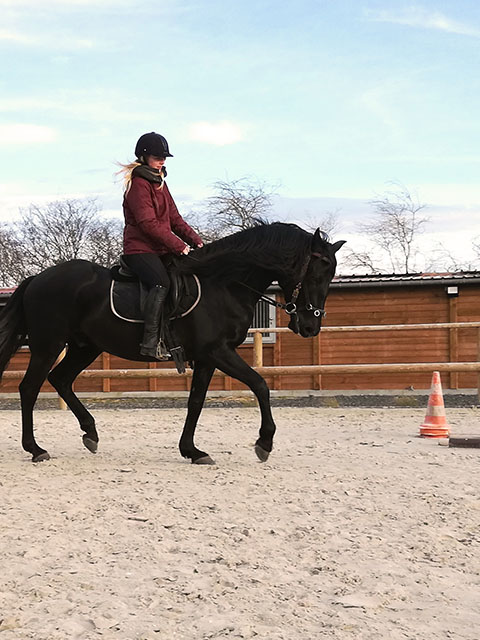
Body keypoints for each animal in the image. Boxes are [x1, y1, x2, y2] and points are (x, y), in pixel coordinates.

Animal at [0, 222, 344, 462]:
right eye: (317, 273)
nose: (311, 325)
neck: (224, 284)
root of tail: (38, 279)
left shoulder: (207, 358)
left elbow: (196, 402)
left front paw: (192, 451)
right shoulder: (219, 352)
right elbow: (260, 385)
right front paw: (264, 443)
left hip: (86, 346)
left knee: (60, 379)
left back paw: (91, 432)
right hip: (48, 345)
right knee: (29, 388)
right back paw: (36, 449)